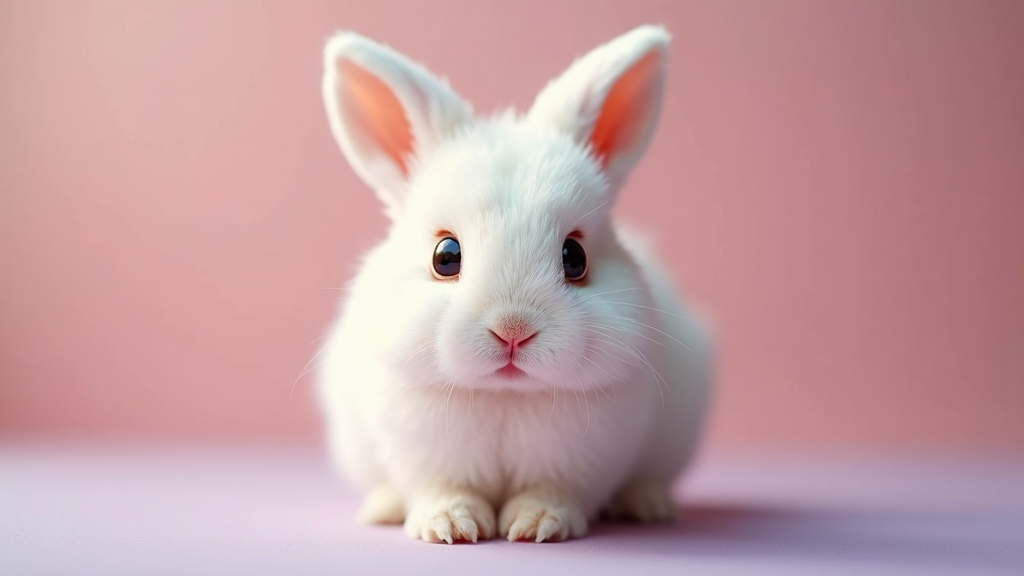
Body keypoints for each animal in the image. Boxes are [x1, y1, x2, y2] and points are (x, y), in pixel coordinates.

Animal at [317, 23, 712, 541]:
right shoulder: (424, 460)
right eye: (446, 256)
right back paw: (383, 507)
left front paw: (540, 525)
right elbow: (442, 489)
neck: (505, 395)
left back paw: (646, 504)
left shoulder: (581, 463)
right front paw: (449, 526)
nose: (512, 331)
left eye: (574, 257)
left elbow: (551, 492)